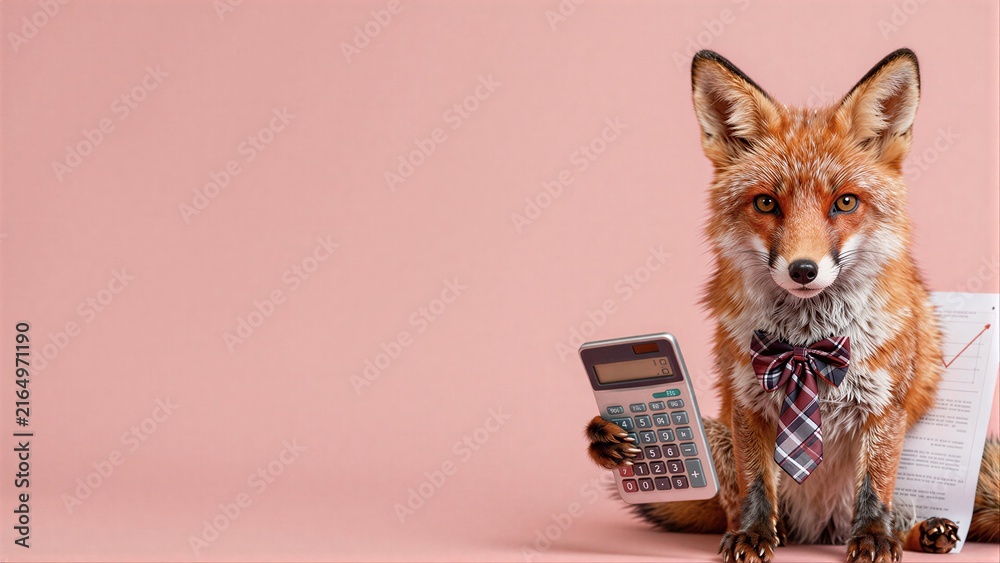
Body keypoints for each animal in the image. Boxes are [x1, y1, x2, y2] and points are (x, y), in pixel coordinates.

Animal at [586, 48, 1000, 563]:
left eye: (845, 202)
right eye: (766, 203)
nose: (803, 270)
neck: (806, 341)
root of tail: (819, 530)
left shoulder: (884, 406)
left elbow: (875, 485)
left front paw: (874, 537)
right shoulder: (748, 400)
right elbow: (757, 485)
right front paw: (753, 534)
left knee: (893, 511)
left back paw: (922, 532)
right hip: (714, 442)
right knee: (732, 505)